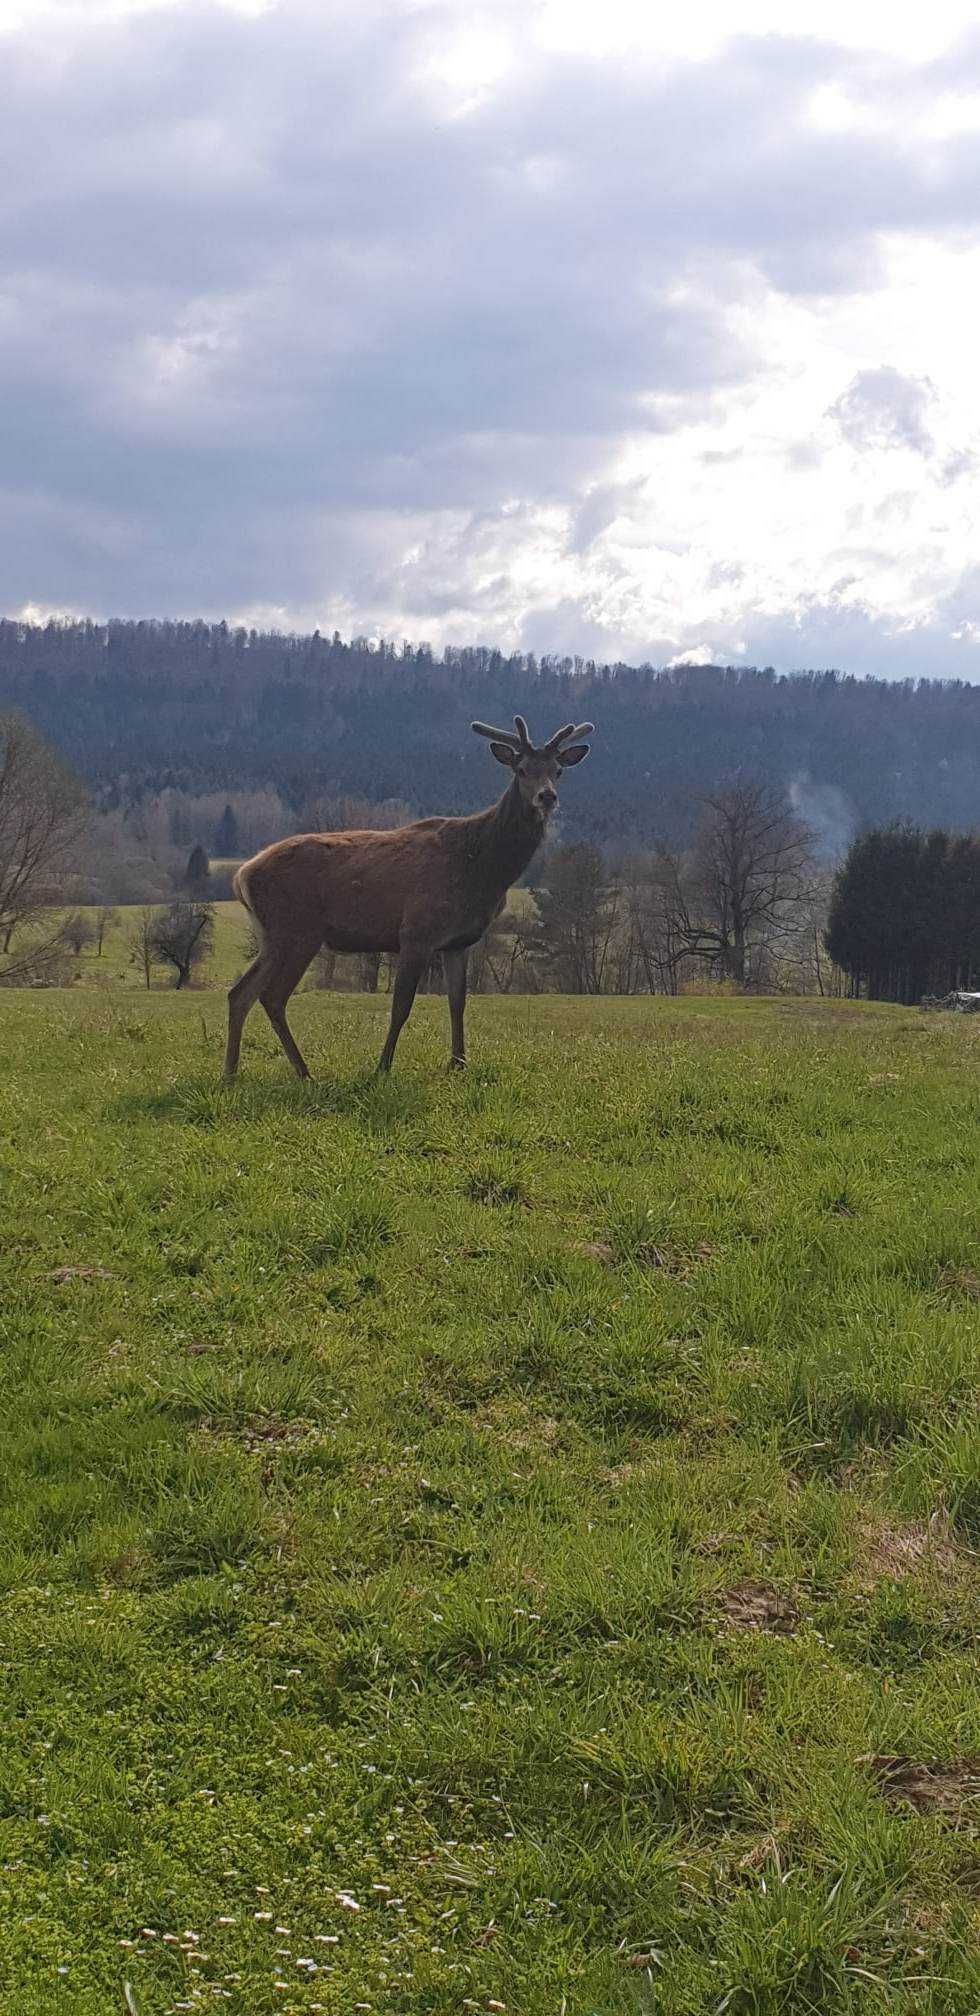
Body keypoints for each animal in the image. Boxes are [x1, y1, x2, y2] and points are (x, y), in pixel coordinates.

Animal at [222, 713, 592, 1080]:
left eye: (558, 770)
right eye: (522, 769)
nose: (547, 797)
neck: (482, 871)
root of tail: (242, 875)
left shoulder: (458, 942)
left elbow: (458, 1002)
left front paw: (458, 1062)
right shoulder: (417, 932)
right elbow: (401, 1006)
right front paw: (382, 1067)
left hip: (272, 937)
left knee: (240, 993)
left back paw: (231, 1073)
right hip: (297, 931)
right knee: (272, 996)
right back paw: (303, 1073)